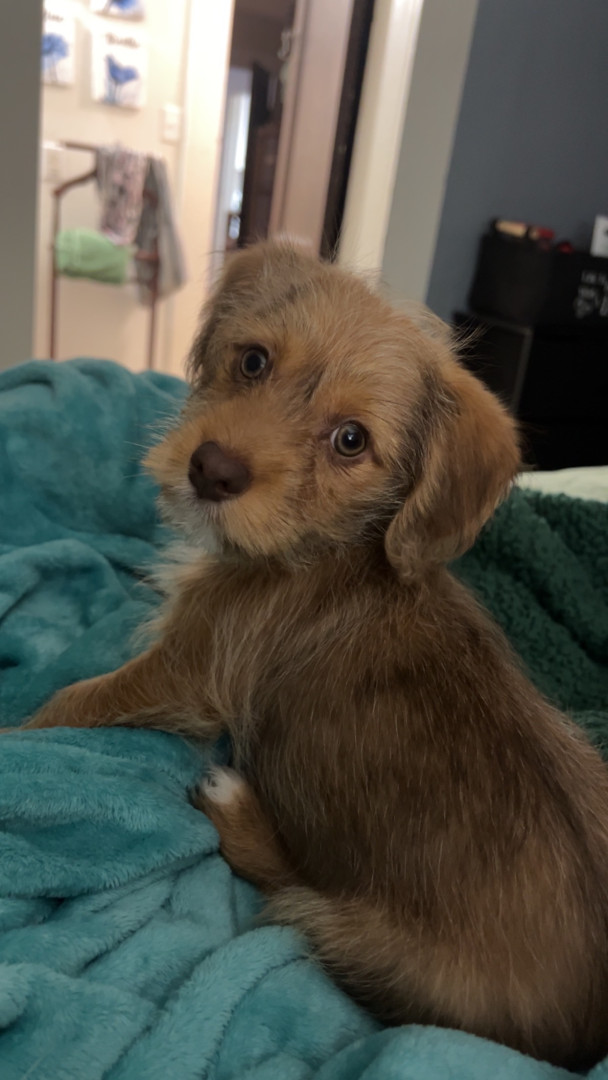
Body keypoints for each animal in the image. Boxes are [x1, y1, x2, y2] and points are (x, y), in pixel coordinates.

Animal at [25, 240, 608, 1069]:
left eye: (350, 440)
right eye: (253, 361)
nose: (212, 469)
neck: (332, 546)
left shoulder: (188, 673)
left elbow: (69, 703)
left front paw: (17, 732)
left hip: (352, 936)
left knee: (291, 889)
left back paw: (236, 808)